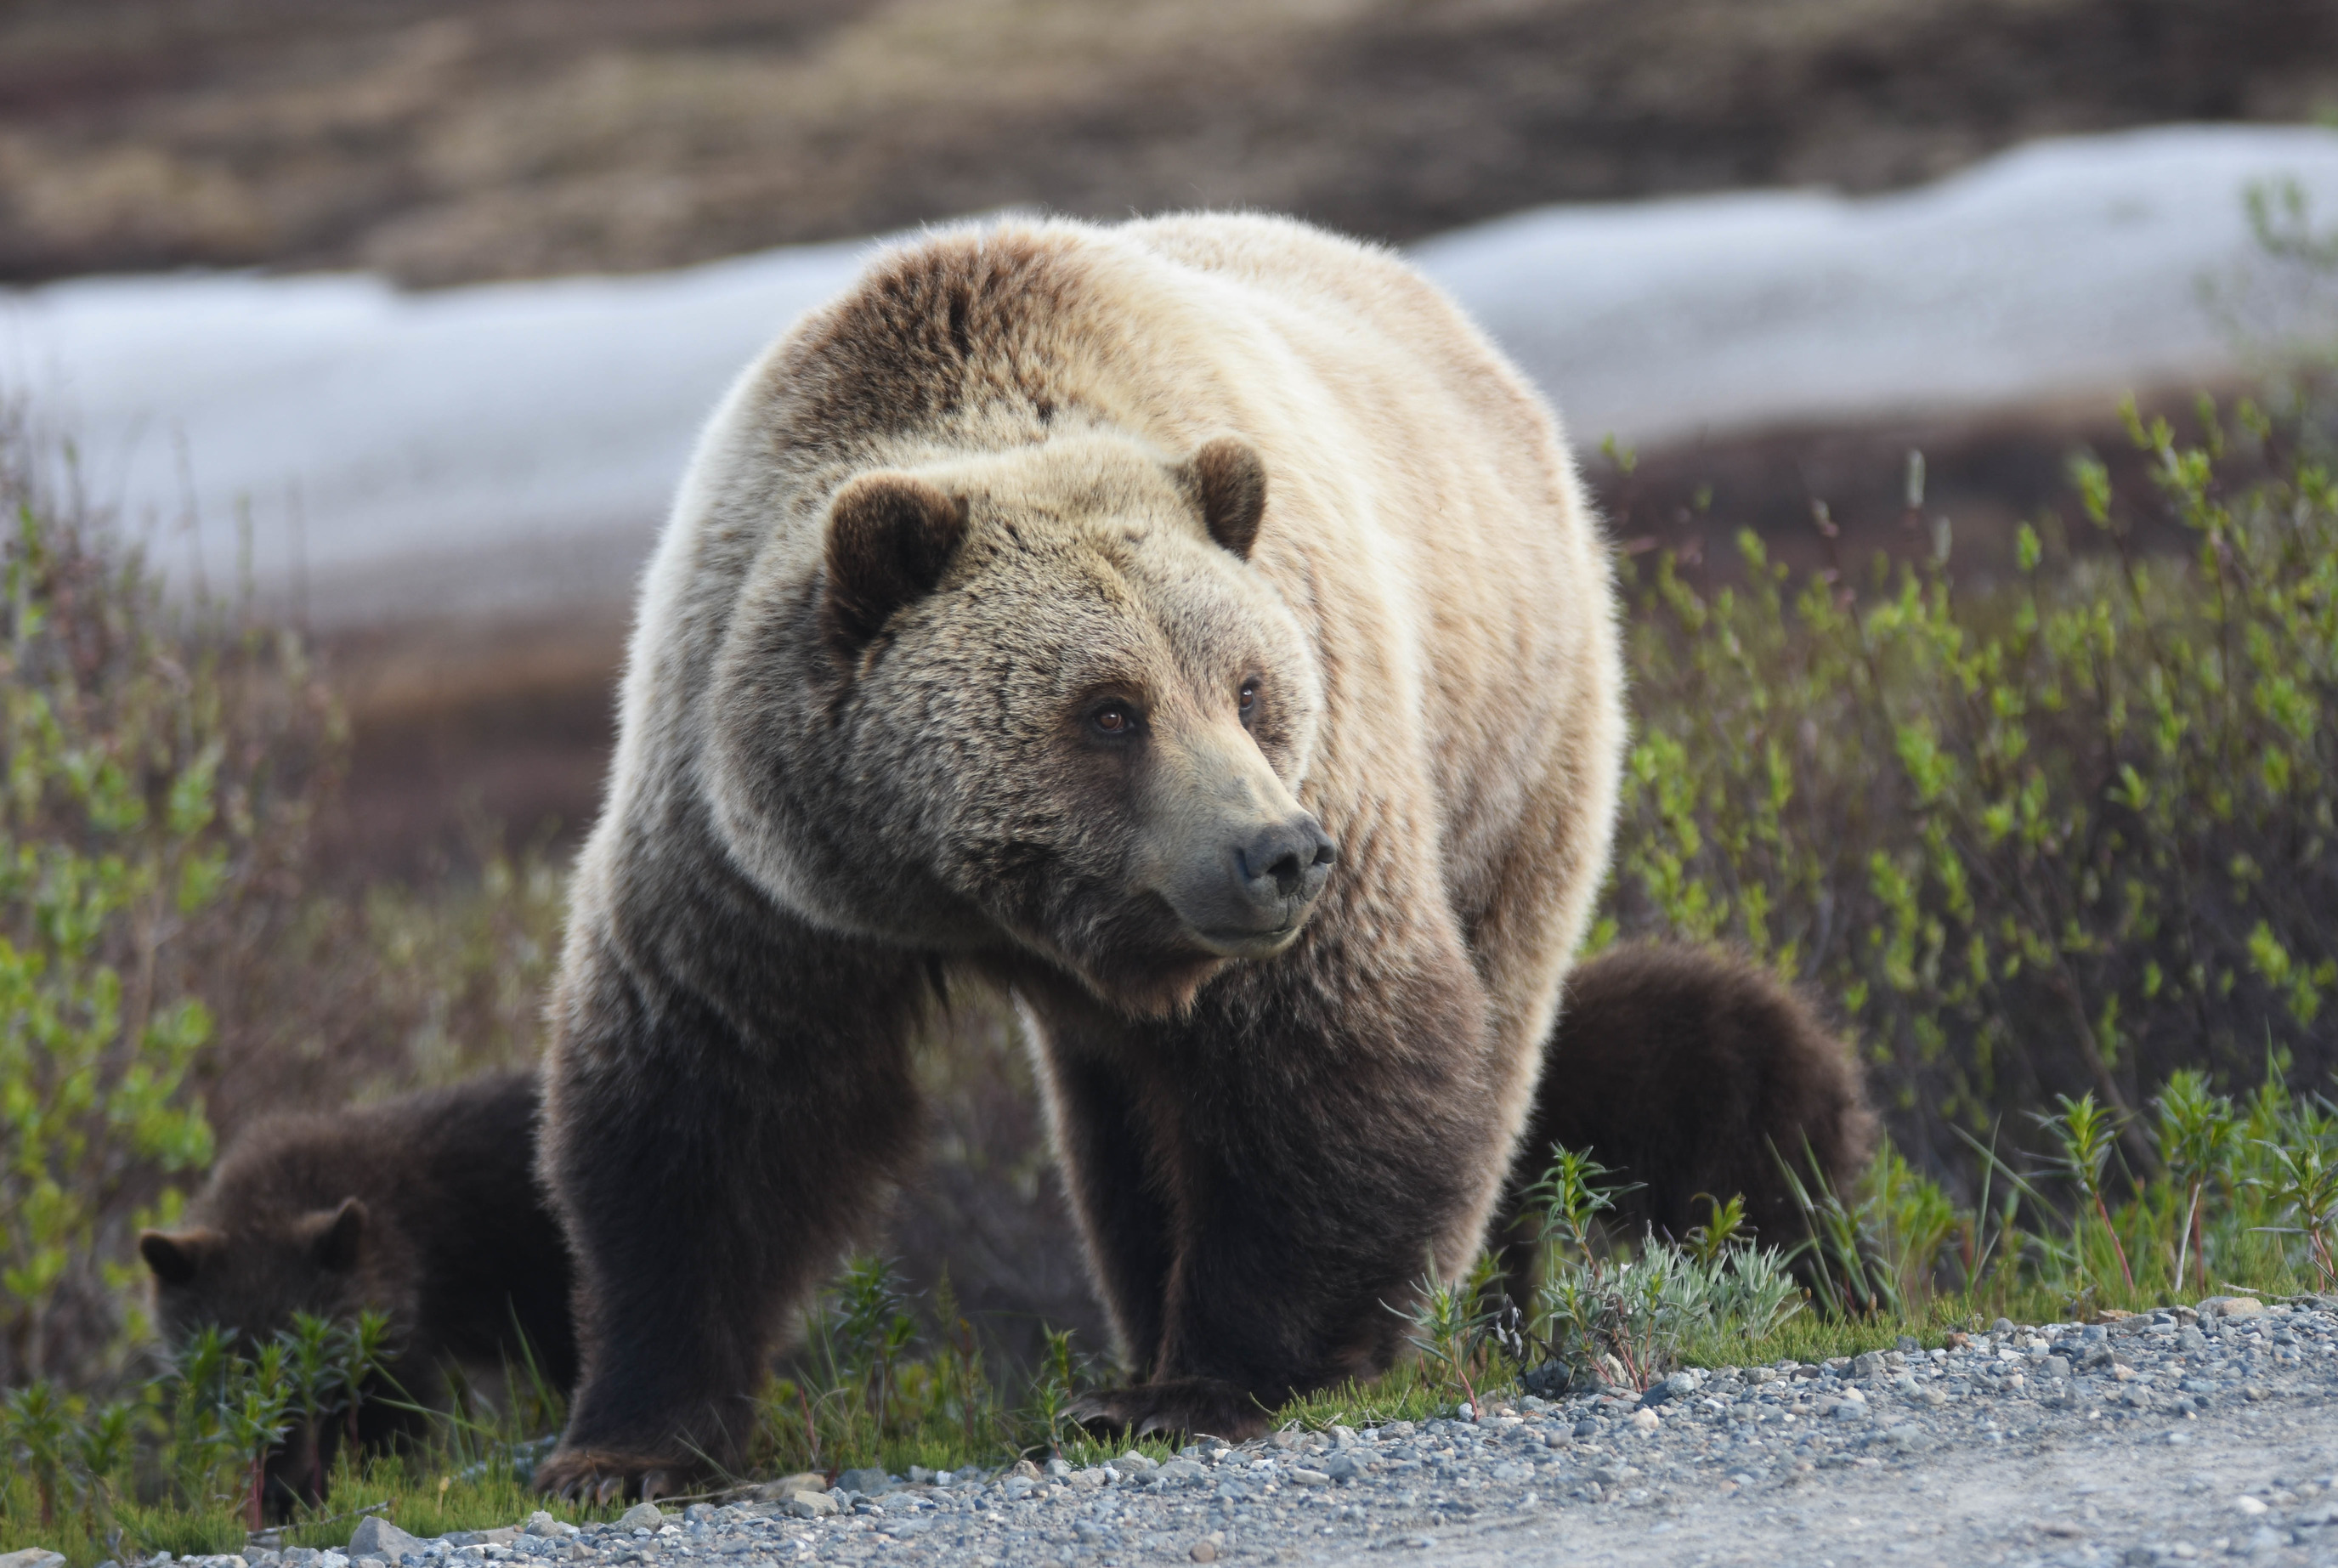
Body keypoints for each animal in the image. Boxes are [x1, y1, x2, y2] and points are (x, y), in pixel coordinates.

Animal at [535, 210, 1634, 1501]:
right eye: (1110, 710)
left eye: (1249, 687)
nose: (1280, 853)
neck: (947, 887)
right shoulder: (754, 861)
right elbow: (705, 1107)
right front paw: (620, 1446)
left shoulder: (1338, 785)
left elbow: (1326, 1059)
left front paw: (1207, 1382)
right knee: (1114, 1131)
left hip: (1512, 745)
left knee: (1490, 1026)